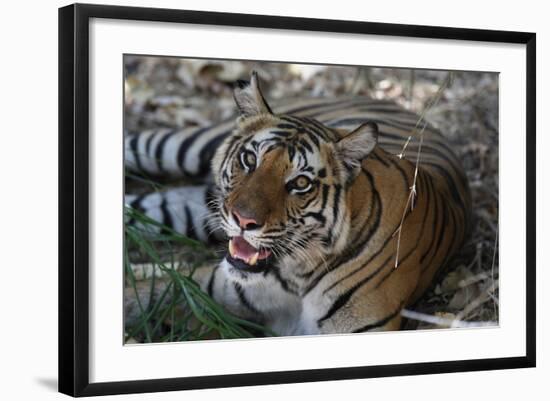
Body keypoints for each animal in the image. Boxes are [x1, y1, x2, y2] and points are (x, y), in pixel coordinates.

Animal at [126, 70, 474, 332]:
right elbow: (141, 296)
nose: (242, 220)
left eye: (301, 183)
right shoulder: (204, 286)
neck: (296, 276)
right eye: (250, 159)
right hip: (189, 146)